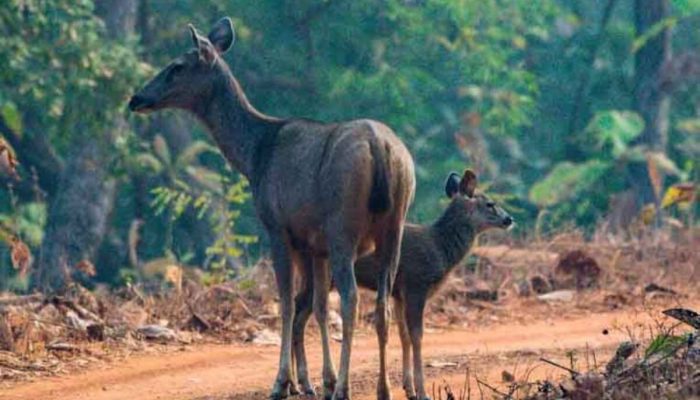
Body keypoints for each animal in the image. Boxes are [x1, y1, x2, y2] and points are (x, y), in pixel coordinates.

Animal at [129, 17, 416, 398]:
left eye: (176, 67)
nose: (136, 98)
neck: (254, 155)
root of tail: (380, 147)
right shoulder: (314, 245)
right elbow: (317, 306)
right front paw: (314, 379)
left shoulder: (277, 227)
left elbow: (288, 303)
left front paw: (285, 381)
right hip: (394, 225)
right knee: (383, 305)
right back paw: (382, 388)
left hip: (343, 224)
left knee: (352, 298)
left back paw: (344, 387)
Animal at [292, 170, 512, 400]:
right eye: (490, 203)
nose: (509, 219)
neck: (440, 249)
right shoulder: (417, 284)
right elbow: (417, 336)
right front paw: (422, 391)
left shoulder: (399, 291)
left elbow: (404, 335)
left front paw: (409, 388)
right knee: (300, 313)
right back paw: (306, 383)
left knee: (296, 310)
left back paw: (299, 384)